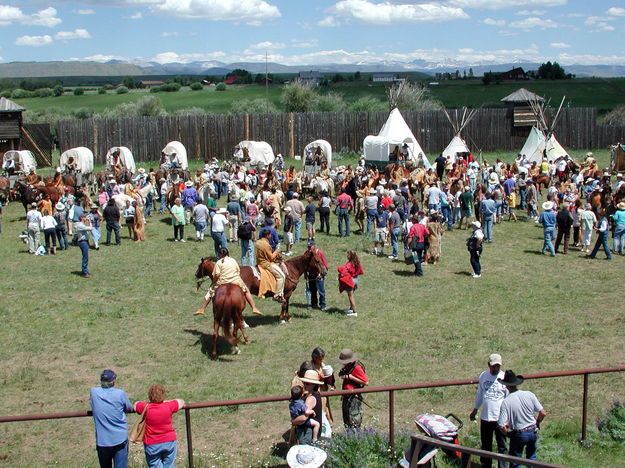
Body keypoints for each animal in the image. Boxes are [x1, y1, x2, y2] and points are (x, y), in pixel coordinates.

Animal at [196, 249, 326, 322]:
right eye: (317, 261)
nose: (325, 272)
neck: (291, 270)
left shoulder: (287, 294)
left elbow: (287, 304)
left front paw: (287, 317)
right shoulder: (287, 293)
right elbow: (284, 304)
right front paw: (282, 319)